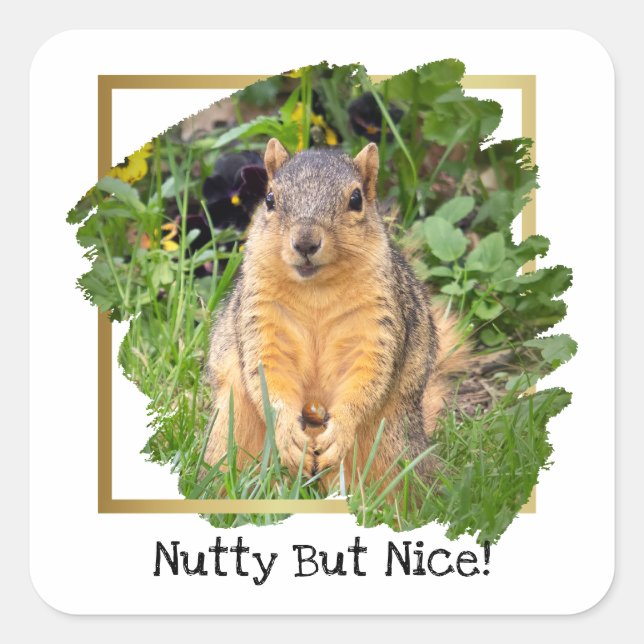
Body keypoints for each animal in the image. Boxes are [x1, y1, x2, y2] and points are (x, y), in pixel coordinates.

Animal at [203, 138, 469, 488]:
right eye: (270, 199)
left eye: (356, 199)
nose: (305, 242)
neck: (315, 291)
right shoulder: (261, 318)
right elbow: (267, 375)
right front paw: (287, 432)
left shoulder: (378, 322)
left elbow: (368, 376)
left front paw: (341, 428)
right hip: (233, 430)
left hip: (389, 448)